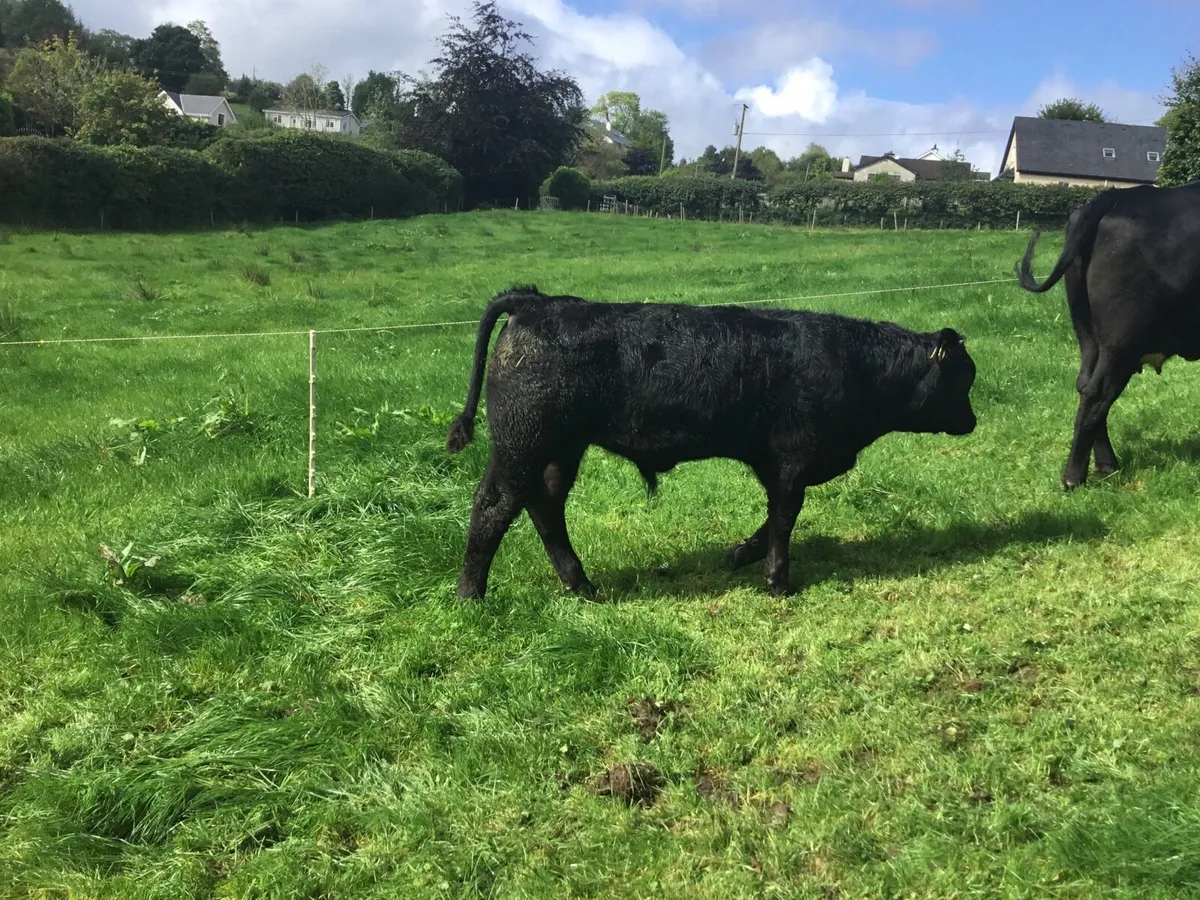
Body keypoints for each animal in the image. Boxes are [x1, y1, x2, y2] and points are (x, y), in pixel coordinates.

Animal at [445, 285, 978, 599]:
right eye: (964, 378)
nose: (974, 421)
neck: (854, 366)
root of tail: (537, 301)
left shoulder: (777, 463)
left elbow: (772, 518)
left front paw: (739, 556)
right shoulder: (794, 458)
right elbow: (785, 519)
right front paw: (777, 582)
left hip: (557, 450)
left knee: (543, 506)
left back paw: (581, 585)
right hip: (523, 442)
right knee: (493, 505)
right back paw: (472, 595)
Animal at [1015, 180, 1200, 490]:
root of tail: (1116, 196)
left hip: (1089, 336)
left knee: (1085, 386)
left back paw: (1105, 464)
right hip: (1120, 341)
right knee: (1097, 393)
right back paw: (1073, 477)